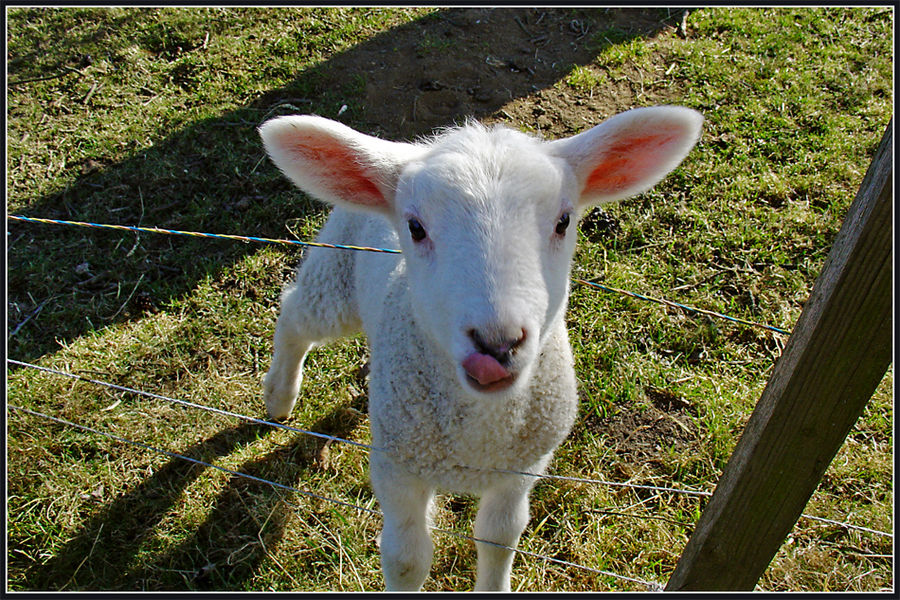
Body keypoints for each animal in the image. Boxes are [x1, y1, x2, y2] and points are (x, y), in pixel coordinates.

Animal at [258, 106, 704, 592]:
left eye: (564, 221)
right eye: (415, 228)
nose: (497, 345)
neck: (479, 442)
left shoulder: (520, 470)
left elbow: (499, 539)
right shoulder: (396, 469)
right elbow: (406, 559)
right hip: (336, 272)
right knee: (295, 314)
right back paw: (279, 395)